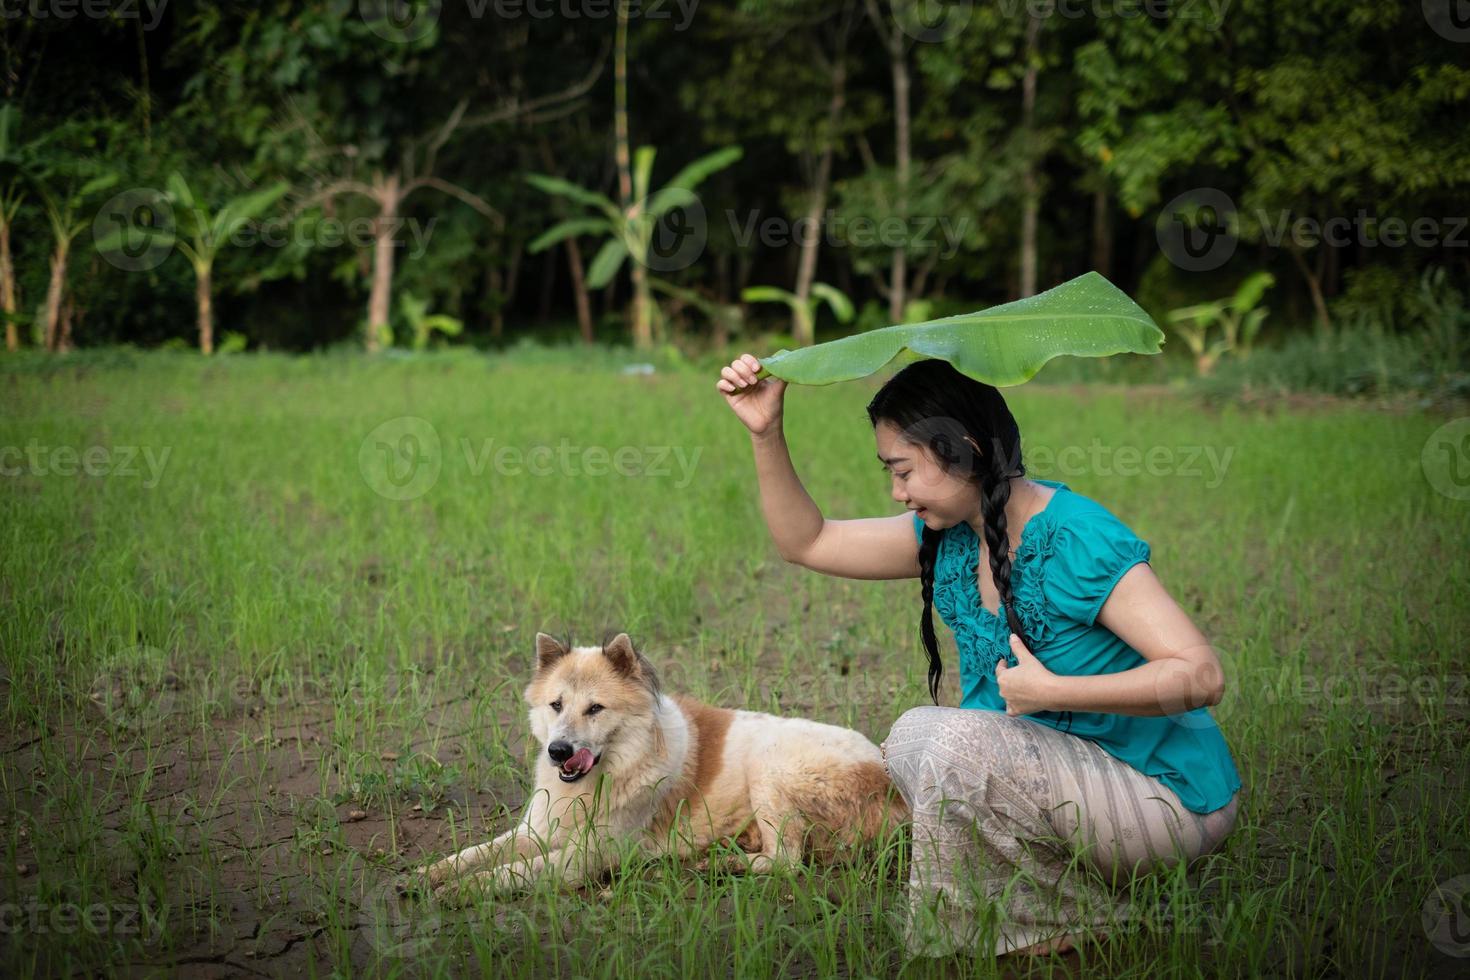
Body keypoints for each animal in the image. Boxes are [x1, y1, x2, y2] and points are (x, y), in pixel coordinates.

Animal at [420, 631, 905, 893]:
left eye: (595, 709)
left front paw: (461, 891)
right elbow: (478, 852)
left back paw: (721, 864)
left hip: (770, 767)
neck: (614, 770)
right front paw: (427, 874)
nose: (558, 751)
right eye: (556, 705)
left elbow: (513, 871)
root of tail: (894, 787)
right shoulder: (535, 830)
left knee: (787, 859)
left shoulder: (587, 855)